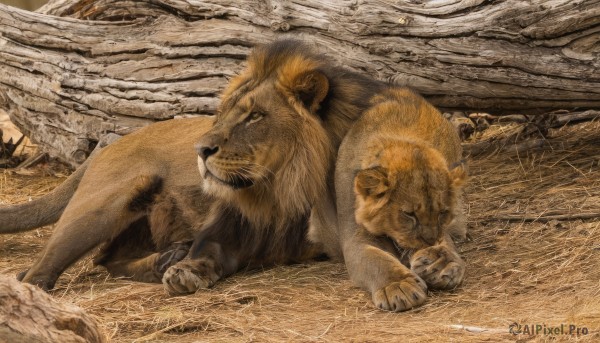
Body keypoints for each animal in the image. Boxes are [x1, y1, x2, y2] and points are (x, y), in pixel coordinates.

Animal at [308, 88, 466, 312]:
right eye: (409, 214)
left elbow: (447, 243)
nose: (429, 241)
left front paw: (441, 264)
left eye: (442, 212)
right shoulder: (355, 238)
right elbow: (377, 261)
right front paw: (398, 286)